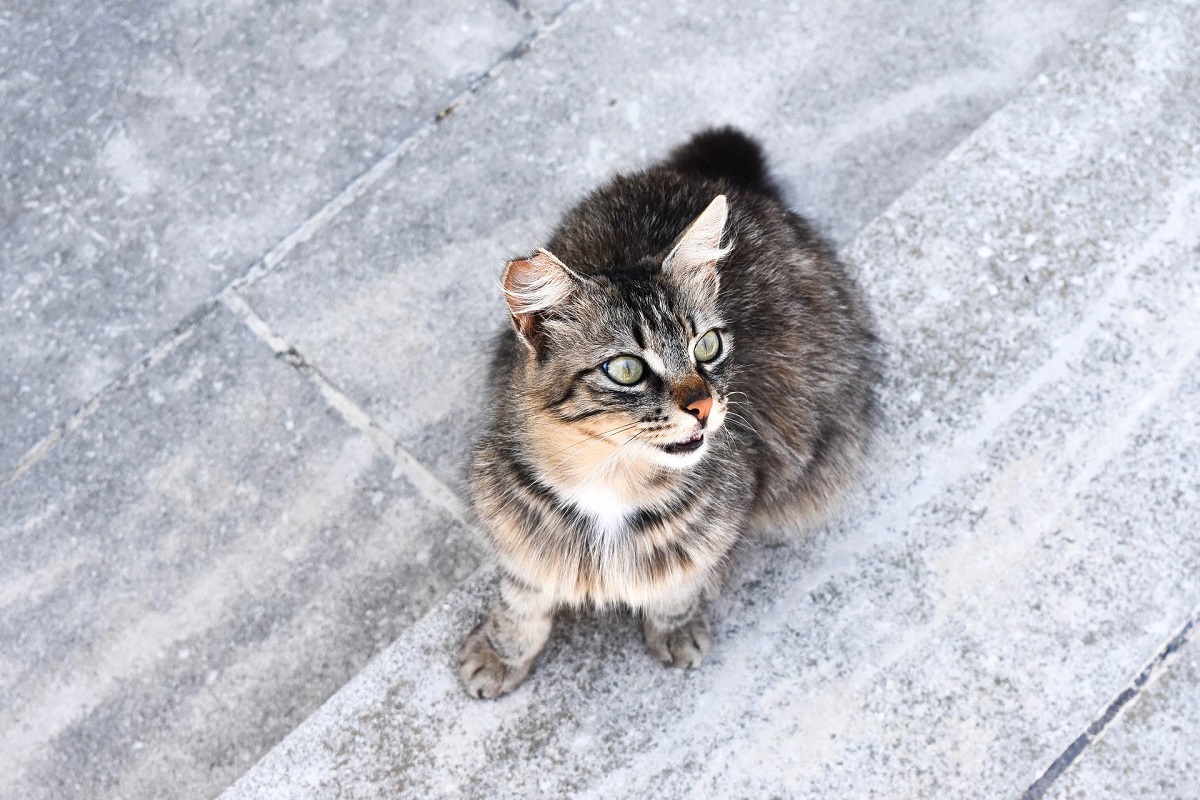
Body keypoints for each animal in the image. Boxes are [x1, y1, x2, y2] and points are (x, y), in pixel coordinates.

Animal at [453, 126, 878, 700]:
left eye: (708, 346)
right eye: (627, 369)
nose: (705, 406)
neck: (608, 484)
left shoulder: (714, 528)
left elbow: (677, 586)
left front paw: (675, 629)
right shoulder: (515, 537)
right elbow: (520, 606)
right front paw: (500, 654)